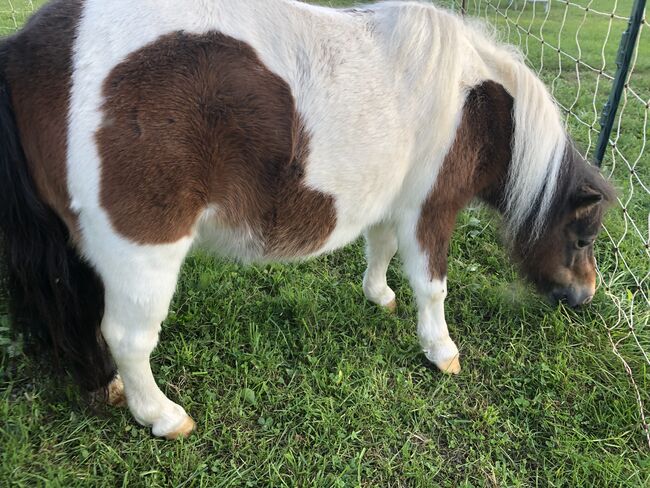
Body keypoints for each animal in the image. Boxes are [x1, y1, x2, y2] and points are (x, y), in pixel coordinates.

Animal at [0, 0, 612, 440]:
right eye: (582, 236)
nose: (586, 297)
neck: (474, 100)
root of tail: (28, 51)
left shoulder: (393, 201)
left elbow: (380, 248)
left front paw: (379, 296)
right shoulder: (429, 208)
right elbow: (431, 286)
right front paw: (441, 351)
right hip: (142, 249)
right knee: (128, 337)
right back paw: (162, 415)